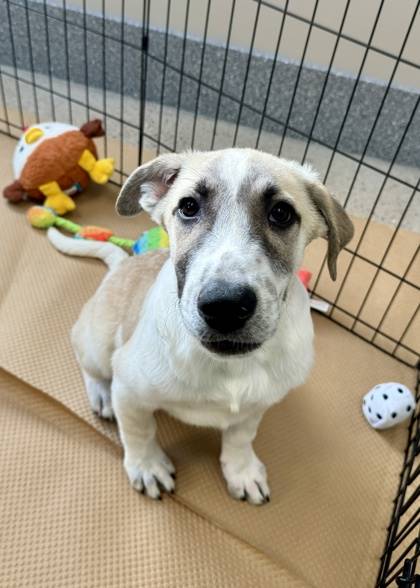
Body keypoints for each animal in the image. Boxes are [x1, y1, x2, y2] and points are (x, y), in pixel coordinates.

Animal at [47, 148, 352, 506]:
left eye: (281, 213)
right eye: (189, 207)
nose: (225, 306)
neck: (228, 367)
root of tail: (122, 266)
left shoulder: (256, 405)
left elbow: (240, 437)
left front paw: (242, 470)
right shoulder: (130, 390)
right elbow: (139, 431)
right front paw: (147, 466)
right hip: (97, 343)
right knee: (89, 364)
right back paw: (101, 395)